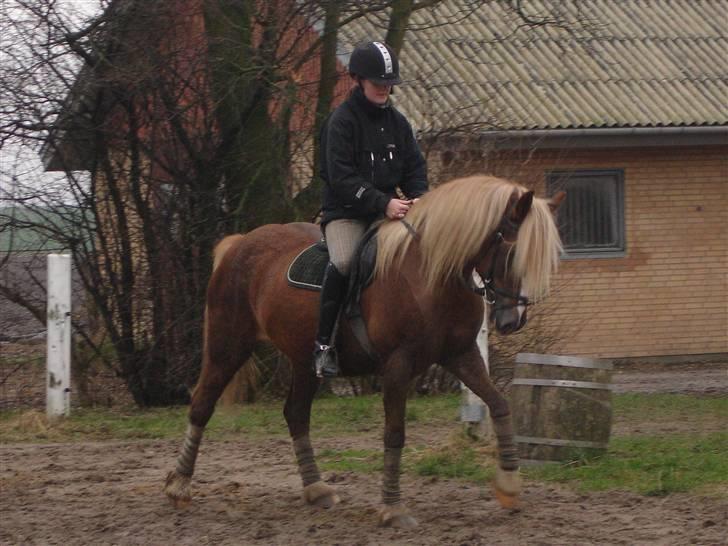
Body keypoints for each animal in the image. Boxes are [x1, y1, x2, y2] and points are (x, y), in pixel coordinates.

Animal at [165, 174, 564, 528]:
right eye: (512, 253)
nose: (513, 321)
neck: (430, 273)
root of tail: (239, 244)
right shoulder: (398, 367)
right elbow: (395, 433)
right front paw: (393, 508)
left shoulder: (461, 355)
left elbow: (499, 404)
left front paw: (509, 485)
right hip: (227, 347)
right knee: (201, 406)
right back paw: (179, 486)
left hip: (304, 361)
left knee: (296, 415)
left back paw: (316, 489)